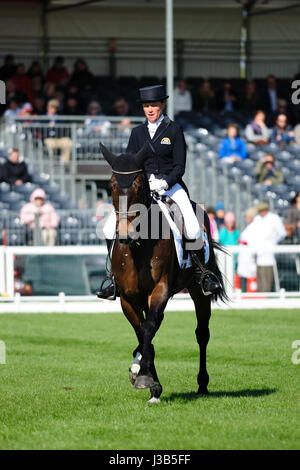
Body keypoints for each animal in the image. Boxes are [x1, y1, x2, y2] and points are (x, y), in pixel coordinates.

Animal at [99, 143, 226, 404]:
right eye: (112, 185)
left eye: (138, 185)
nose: (125, 234)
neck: (138, 247)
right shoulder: (128, 298)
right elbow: (143, 333)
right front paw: (148, 379)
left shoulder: (160, 290)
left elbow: (148, 328)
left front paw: (144, 377)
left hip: (198, 291)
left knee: (202, 334)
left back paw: (202, 384)